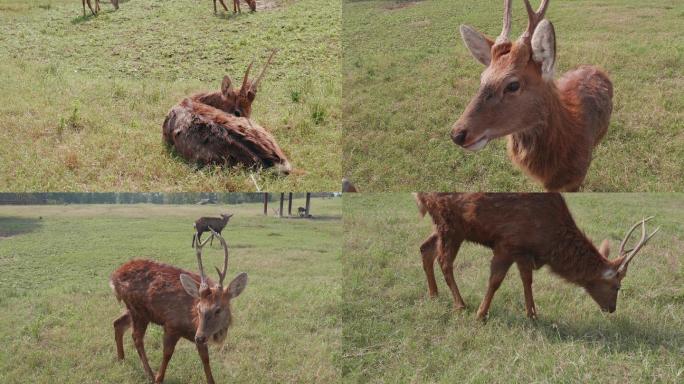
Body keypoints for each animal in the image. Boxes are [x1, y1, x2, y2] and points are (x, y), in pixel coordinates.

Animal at [111, 230, 250, 382]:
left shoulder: (199, 333)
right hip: (138, 311)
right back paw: (149, 373)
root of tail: (113, 277)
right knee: (136, 337)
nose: (199, 337)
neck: (192, 322)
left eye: (218, 309)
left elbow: (205, 359)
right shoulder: (172, 324)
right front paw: (159, 378)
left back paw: (121, 358)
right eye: (199, 308)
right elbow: (167, 354)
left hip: (134, 309)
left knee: (117, 323)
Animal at [414, 192, 660, 320]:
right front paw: (481, 314)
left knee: (425, 249)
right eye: (617, 286)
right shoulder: (507, 242)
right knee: (444, 261)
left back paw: (434, 294)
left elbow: (527, 280)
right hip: (450, 223)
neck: (548, 242)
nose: (612, 309)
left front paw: (532, 313)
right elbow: (495, 281)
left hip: (448, 226)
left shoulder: (523, 250)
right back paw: (460, 304)